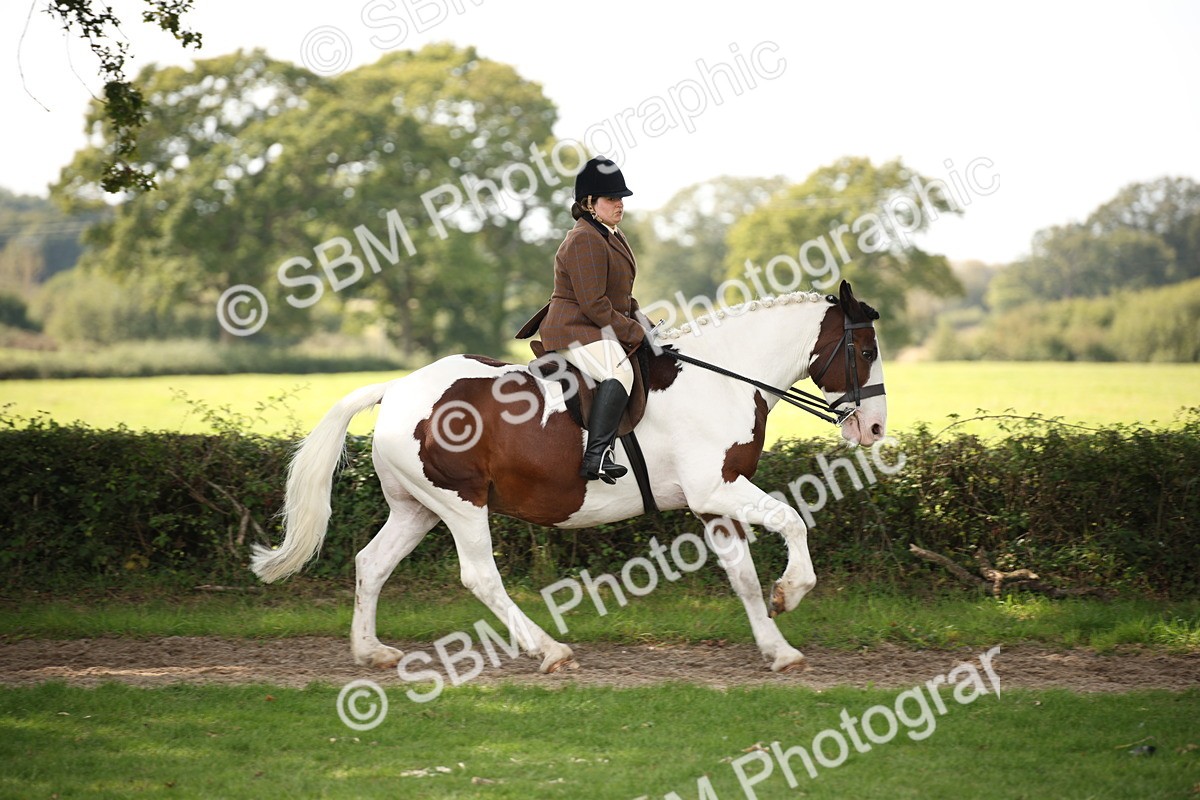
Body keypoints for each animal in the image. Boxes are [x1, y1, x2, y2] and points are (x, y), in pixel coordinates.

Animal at [250, 280, 887, 674]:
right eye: (864, 349)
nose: (876, 427)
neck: (723, 378)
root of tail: (399, 388)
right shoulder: (719, 489)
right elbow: (793, 520)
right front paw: (792, 591)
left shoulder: (713, 502)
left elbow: (744, 579)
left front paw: (778, 649)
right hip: (459, 503)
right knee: (480, 577)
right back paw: (549, 650)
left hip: (418, 508)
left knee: (372, 563)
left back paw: (372, 652)